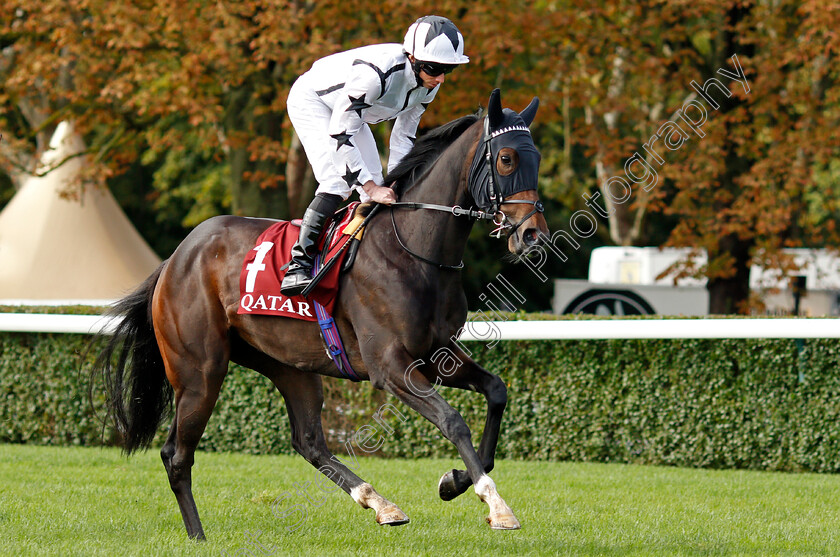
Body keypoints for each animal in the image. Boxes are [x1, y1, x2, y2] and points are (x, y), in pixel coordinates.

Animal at [92, 88, 548, 540]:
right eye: (507, 158)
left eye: (538, 158)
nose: (532, 234)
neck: (413, 250)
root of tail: (174, 259)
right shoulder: (390, 366)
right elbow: (453, 421)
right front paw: (496, 504)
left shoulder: (436, 354)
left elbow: (496, 391)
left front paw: (454, 481)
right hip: (199, 373)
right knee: (177, 453)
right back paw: (198, 536)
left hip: (289, 365)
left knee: (309, 442)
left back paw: (381, 504)